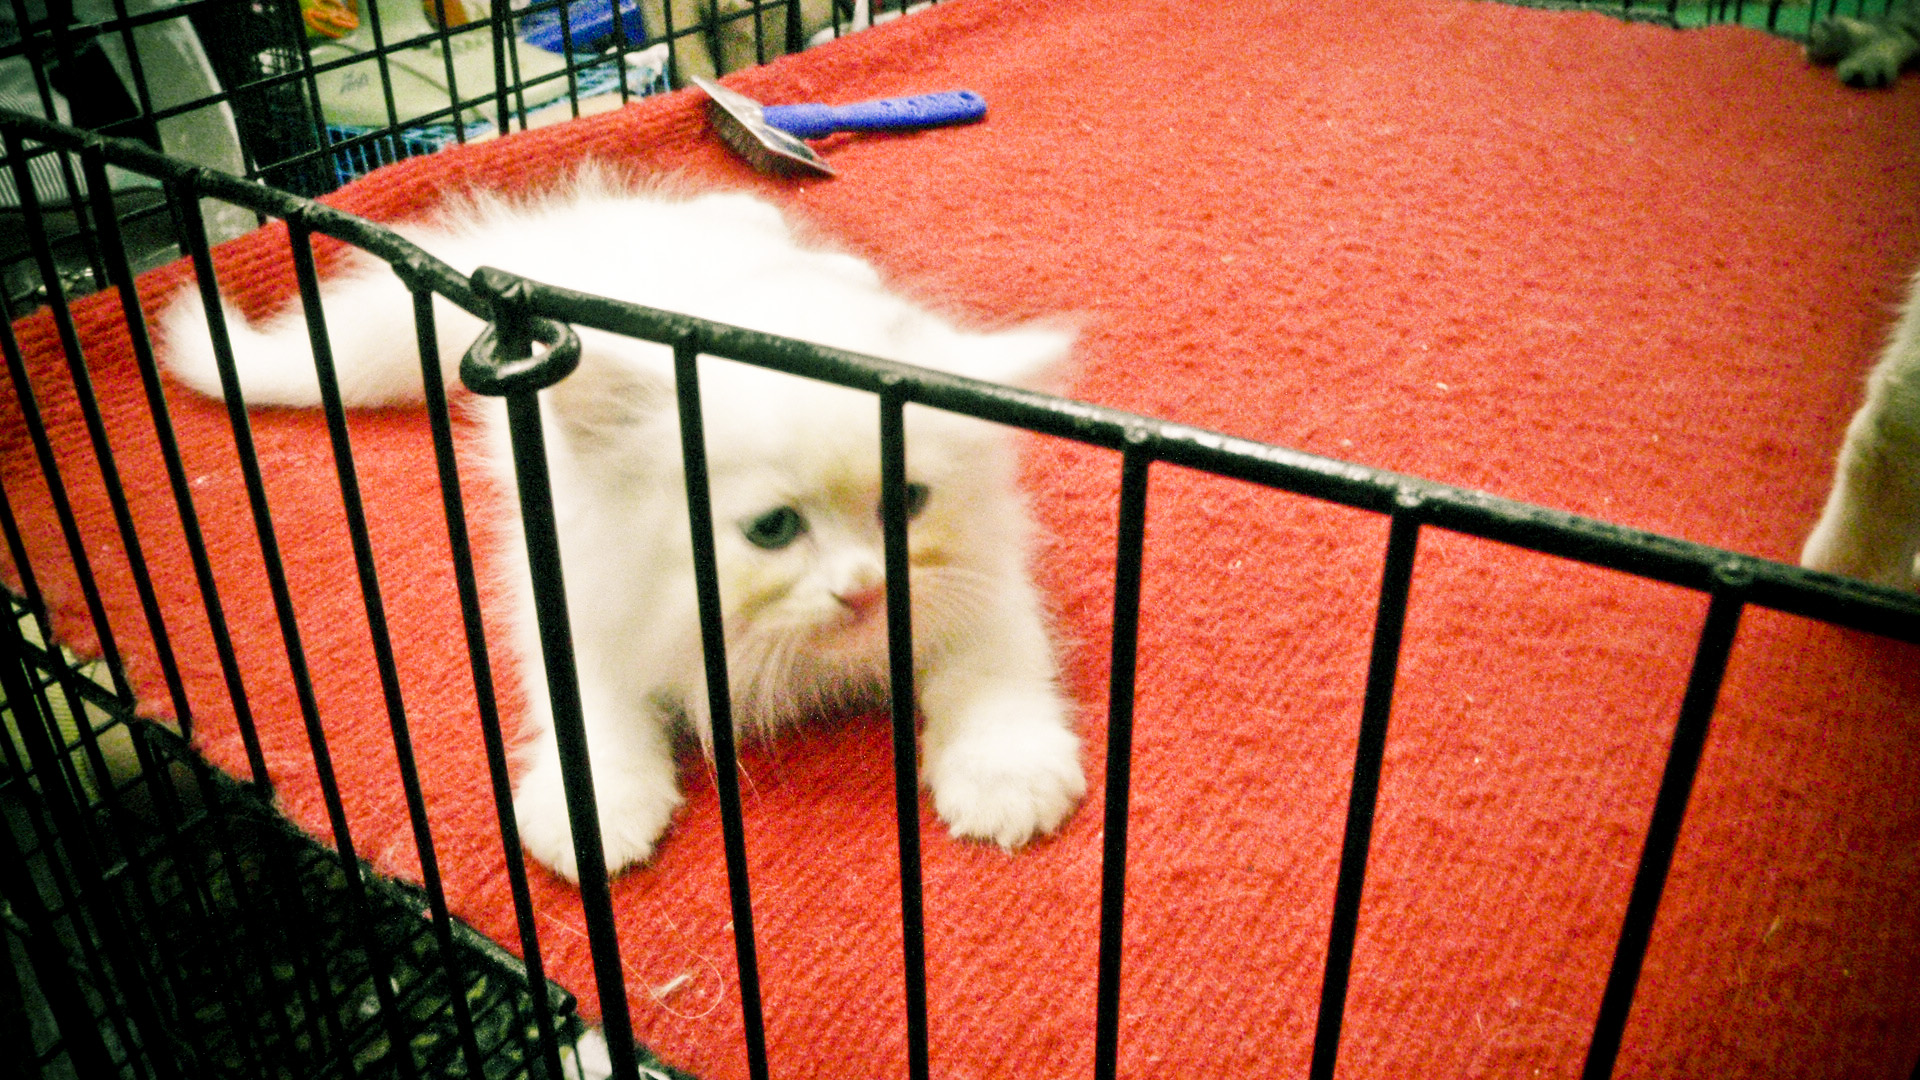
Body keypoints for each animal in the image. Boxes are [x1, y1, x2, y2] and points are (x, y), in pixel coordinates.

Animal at [157, 168, 1090, 876]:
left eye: (906, 504)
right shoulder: (572, 595)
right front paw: (593, 813)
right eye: (773, 530)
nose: (864, 589)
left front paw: (1008, 777)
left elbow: (996, 671)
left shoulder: (985, 582)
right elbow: (588, 718)